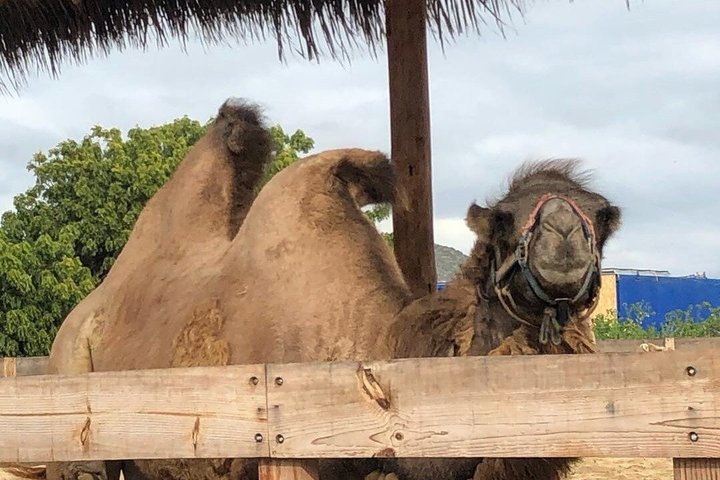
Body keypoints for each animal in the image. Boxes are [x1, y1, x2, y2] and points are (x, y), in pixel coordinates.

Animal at [36, 97, 622, 480]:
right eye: (502, 221)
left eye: (603, 216)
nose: (563, 236)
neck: (376, 346)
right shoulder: (285, 450)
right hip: (75, 403)